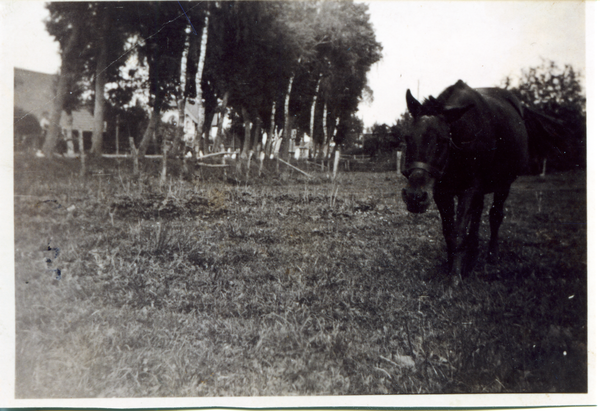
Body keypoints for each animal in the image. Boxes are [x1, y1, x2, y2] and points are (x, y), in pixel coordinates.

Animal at [400, 82, 560, 284]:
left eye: (442, 140)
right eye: (407, 138)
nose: (414, 196)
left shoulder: (469, 189)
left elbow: (460, 231)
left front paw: (455, 275)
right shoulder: (441, 191)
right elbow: (449, 230)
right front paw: (451, 264)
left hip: (503, 184)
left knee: (495, 216)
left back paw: (491, 255)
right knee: (477, 217)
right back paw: (472, 254)